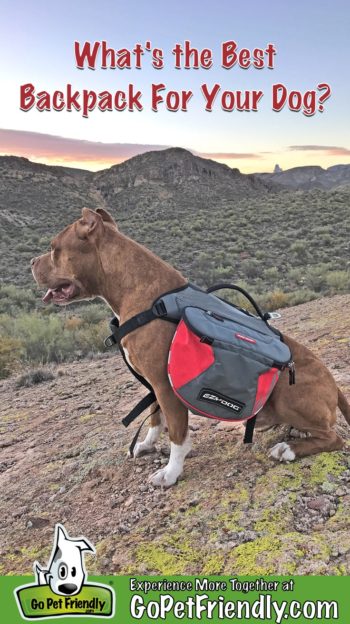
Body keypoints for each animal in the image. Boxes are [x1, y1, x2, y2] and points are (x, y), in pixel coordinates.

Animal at [31, 208, 350, 488]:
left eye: (53, 248)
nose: (32, 262)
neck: (138, 290)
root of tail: (335, 387)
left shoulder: (165, 385)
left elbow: (177, 434)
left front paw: (170, 473)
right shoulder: (153, 385)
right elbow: (155, 418)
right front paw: (146, 444)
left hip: (286, 394)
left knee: (334, 439)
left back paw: (288, 449)